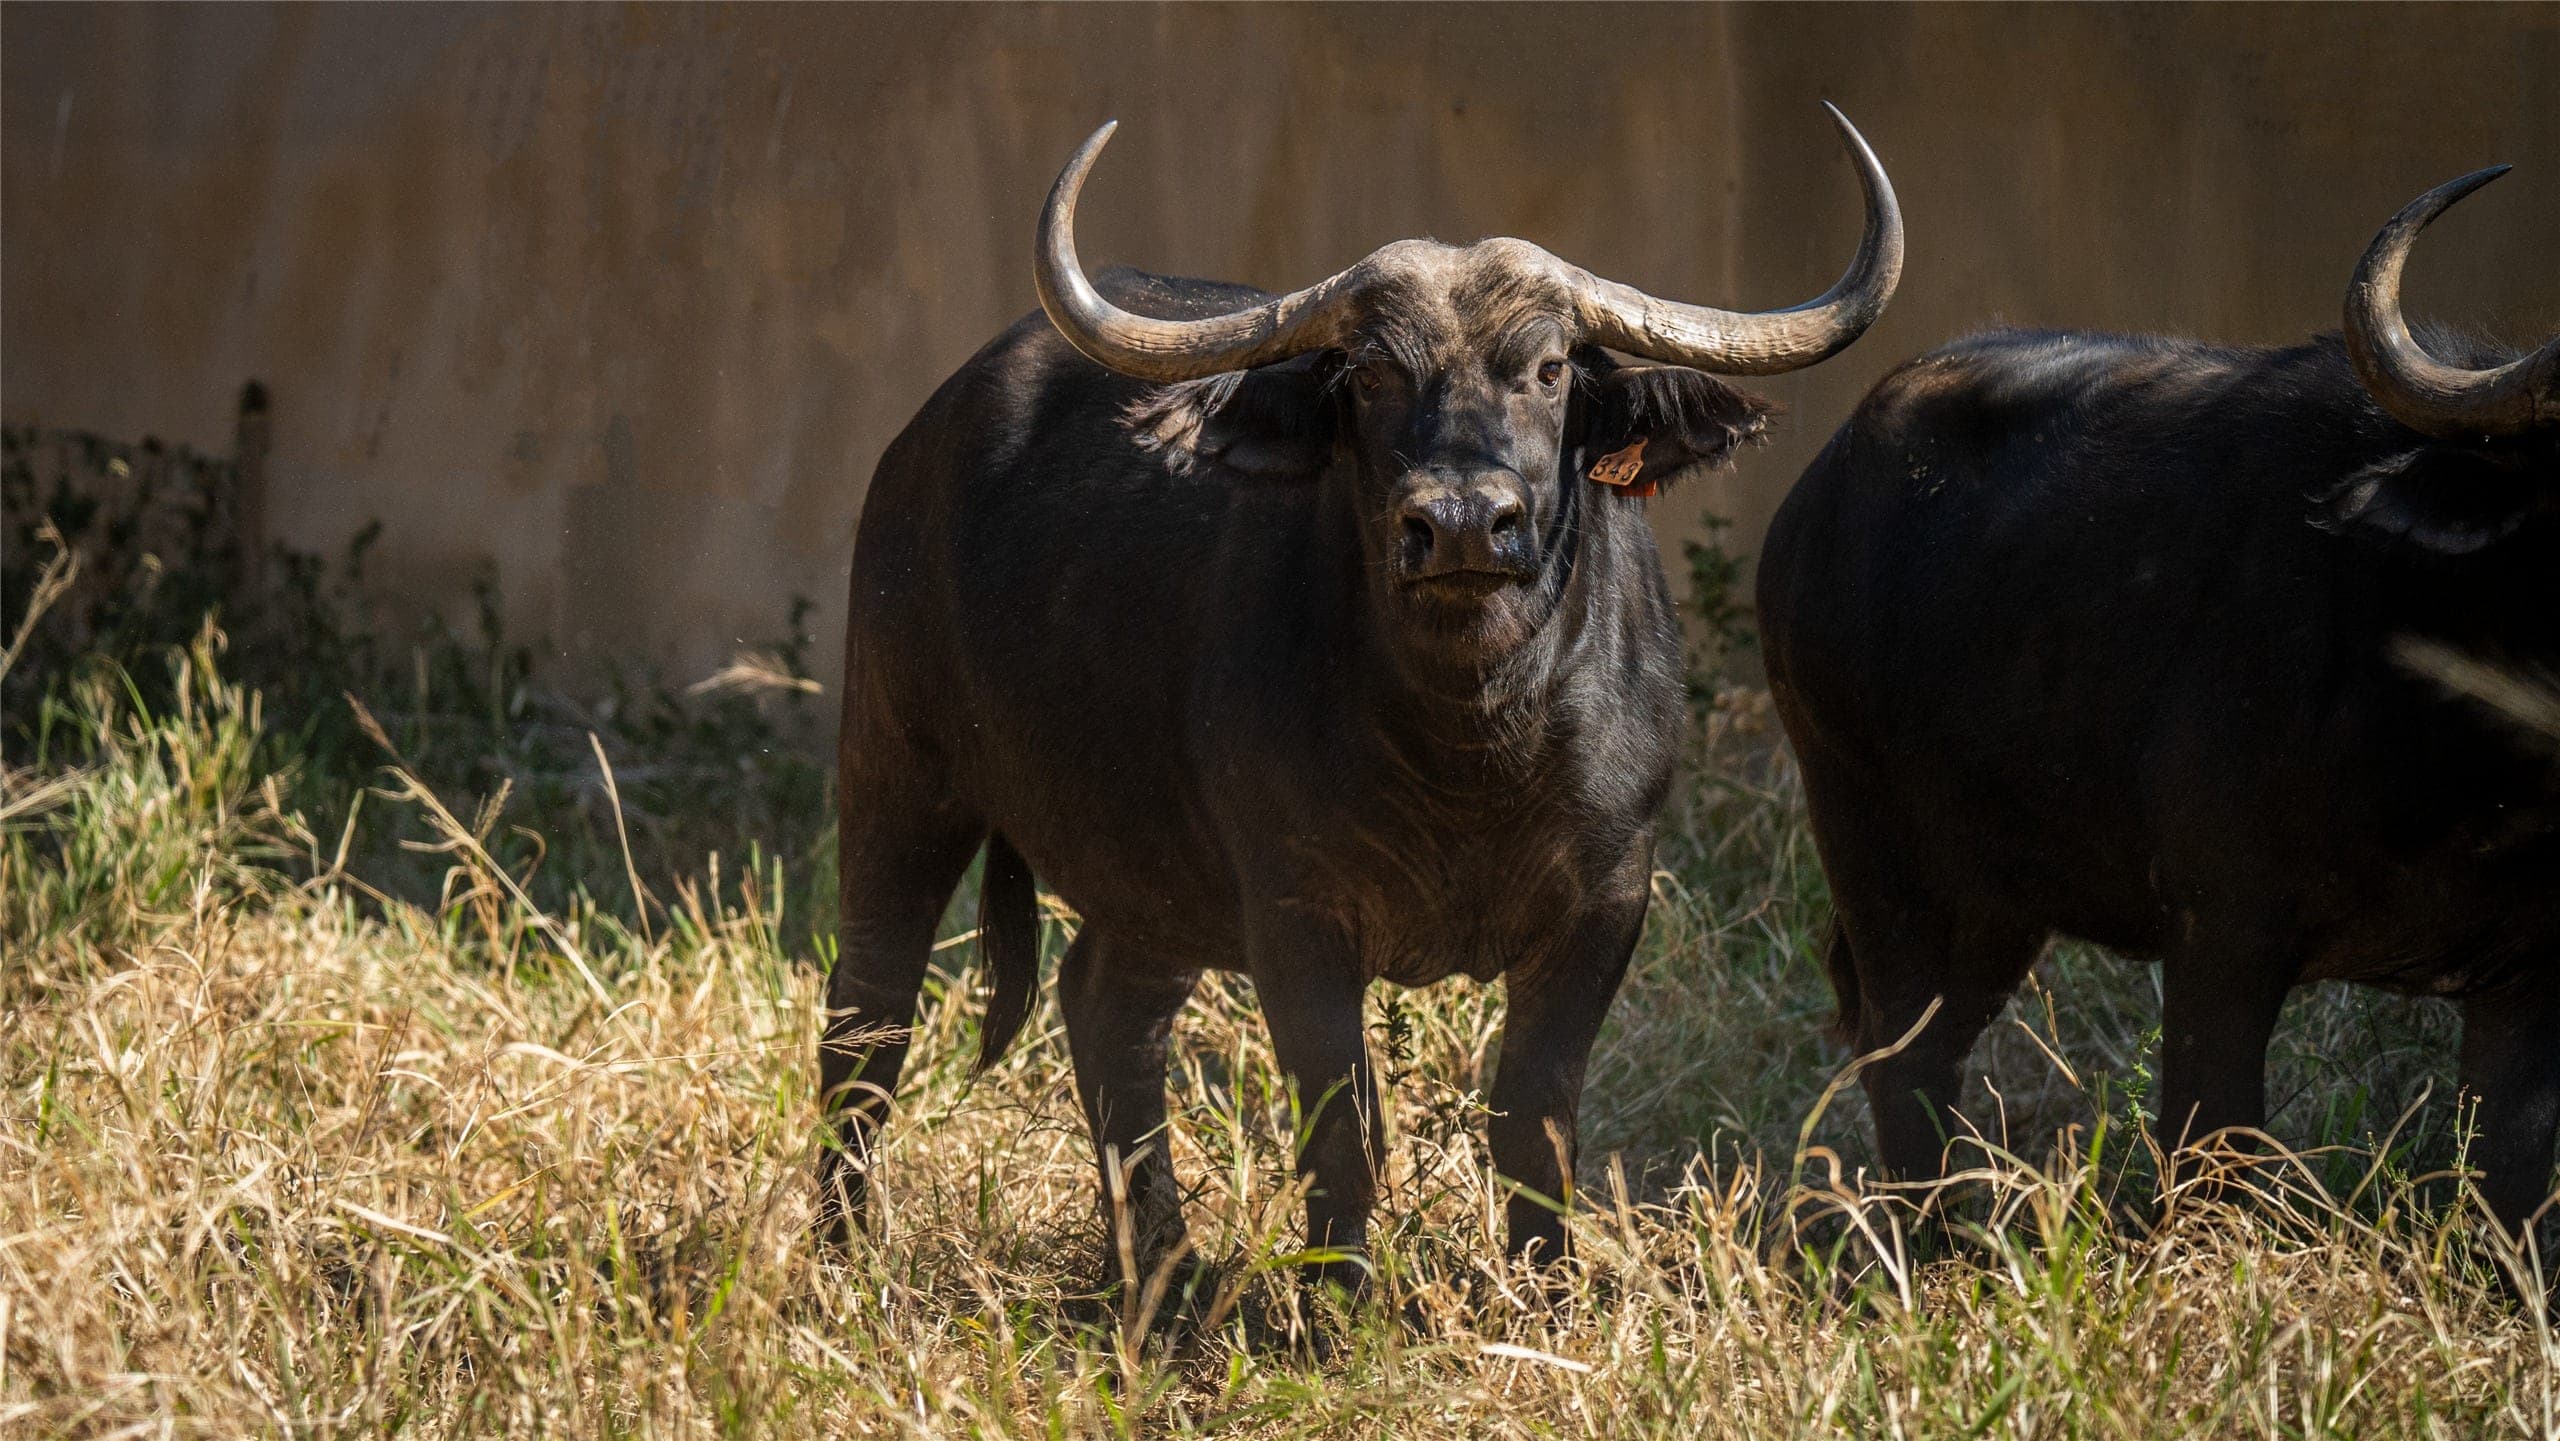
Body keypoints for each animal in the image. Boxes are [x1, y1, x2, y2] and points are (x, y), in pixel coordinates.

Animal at [815, 108, 1904, 1289]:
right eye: (1374, 375)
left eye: (1550, 368)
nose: (1465, 522)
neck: (1469, 741)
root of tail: (923, 440)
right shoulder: (1296, 912)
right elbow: (1343, 1127)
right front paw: (1342, 1293)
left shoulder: (1609, 896)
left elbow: (1535, 1120)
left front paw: (1544, 1284)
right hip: (899, 772)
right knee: (867, 1016)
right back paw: (841, 1247)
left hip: (1151, 864)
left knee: (1107, 1007)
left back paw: (1162, 1264)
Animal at [1758, 167, 2559, 1247]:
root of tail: (1813, 502)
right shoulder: (2221, 935)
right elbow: (2213, 1148)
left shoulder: (2526, 980)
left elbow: (2511, 1187)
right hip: (1873, 852)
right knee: (1904, 1057)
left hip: (1997, 902)